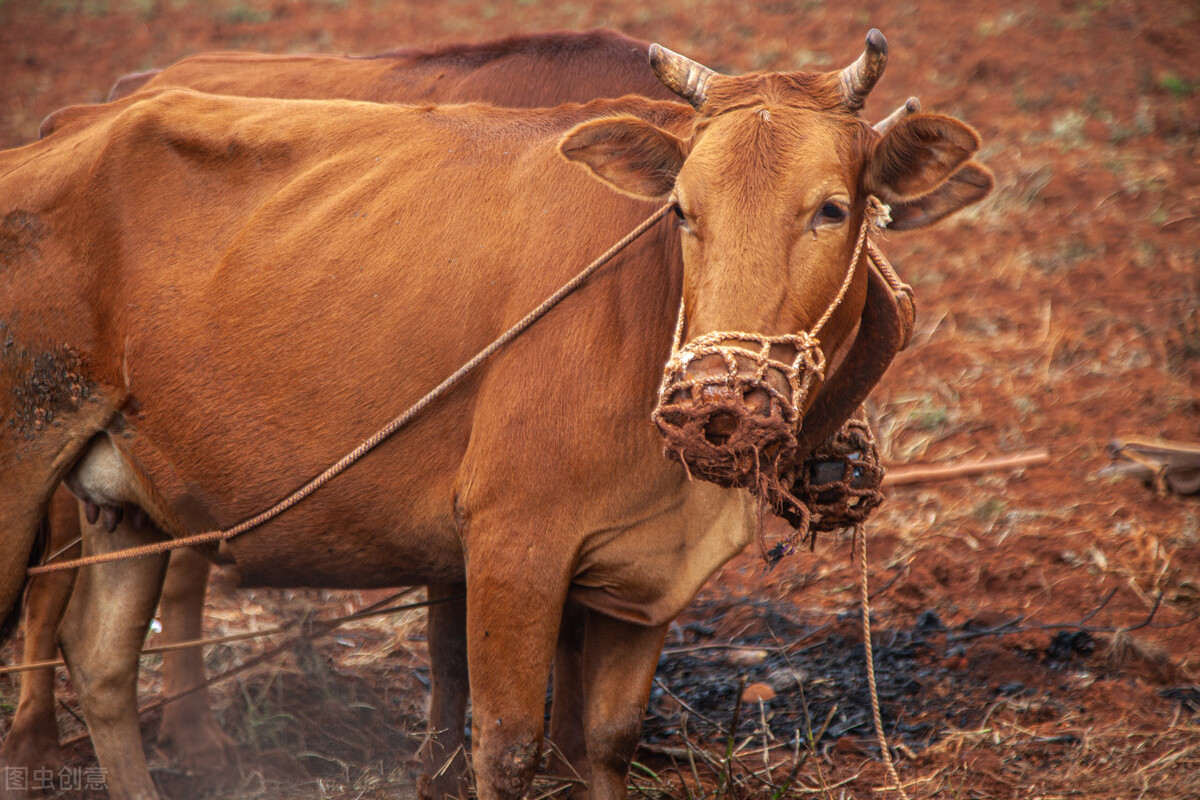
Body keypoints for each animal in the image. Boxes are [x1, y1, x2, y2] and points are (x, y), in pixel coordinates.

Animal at [0, 32, 988, 800]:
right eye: (681, 210)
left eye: (833, 208)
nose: (718, 401)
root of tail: (66, 125)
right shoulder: (511, 548)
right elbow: (505, 743)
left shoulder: (640, 577)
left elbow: (604, 743)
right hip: (27, 480)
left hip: (125, 502)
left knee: (103, 661)